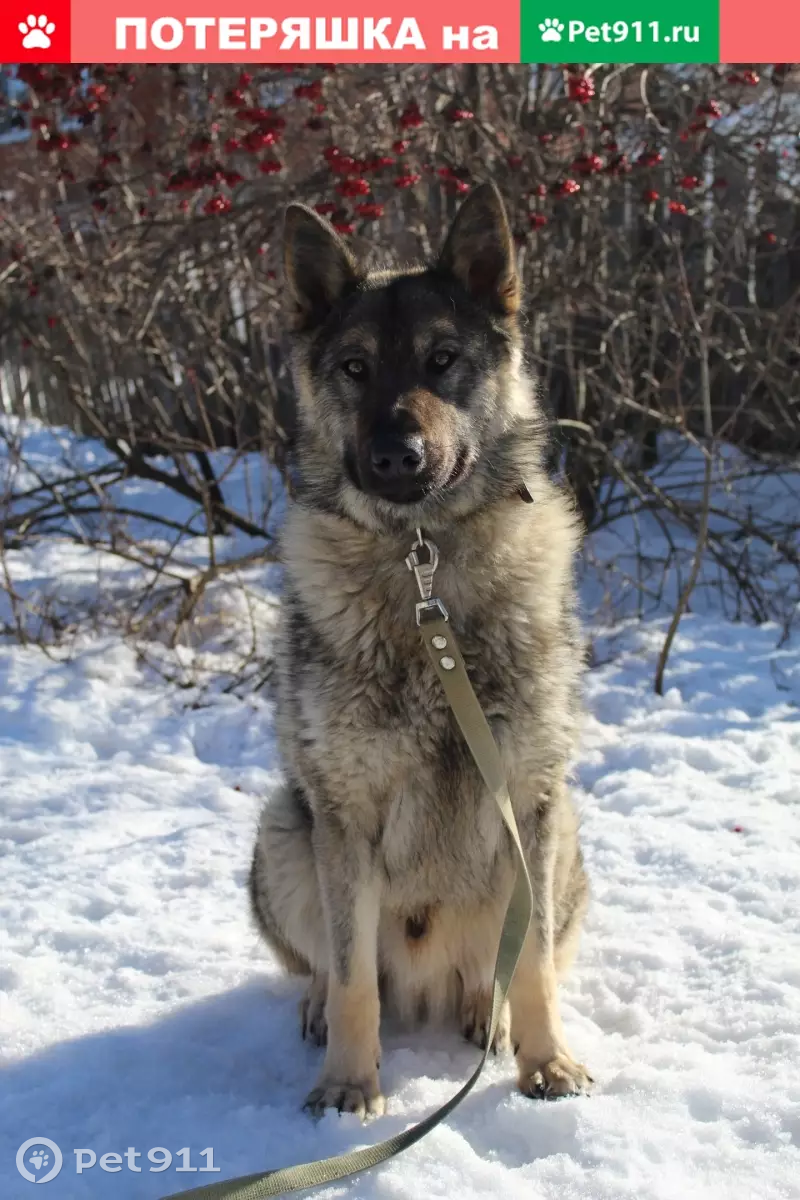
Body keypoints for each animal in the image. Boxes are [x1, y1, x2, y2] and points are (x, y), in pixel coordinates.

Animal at [249, 182, 591, 1119]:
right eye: (354, 369)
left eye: (443, 360)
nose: (395, 456)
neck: (422, 558)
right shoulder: (345, 815)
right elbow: (353, 977)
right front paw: (348, 1083)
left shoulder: (530, 800)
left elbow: (533, 966)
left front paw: (546, 1063)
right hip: (285, 829)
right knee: (333, 968)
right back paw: (321, 1012)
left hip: (566, 841)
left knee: (497, 969)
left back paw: (487, 1014)